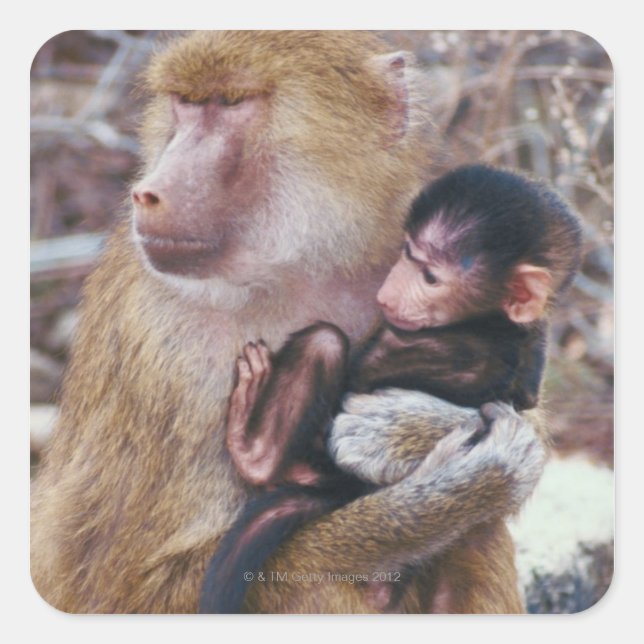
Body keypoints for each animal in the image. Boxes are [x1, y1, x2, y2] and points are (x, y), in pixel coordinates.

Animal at [199, 164, 581, 613]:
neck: (492, 323)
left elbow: (366, 371)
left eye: (430, 276)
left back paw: (256, 455)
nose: (387, 291)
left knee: (326, 342)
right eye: (406, 252)